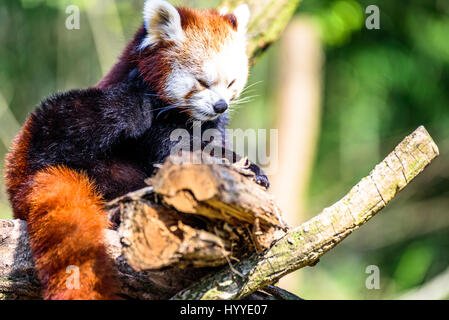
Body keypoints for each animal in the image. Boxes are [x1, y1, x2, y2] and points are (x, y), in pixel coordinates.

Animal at [5, 0, 268, 300]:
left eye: (231, 83)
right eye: (202, 82)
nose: (220, 105)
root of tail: (22, 183)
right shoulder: (156, 118)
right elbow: (176, 153)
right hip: (45, 138)